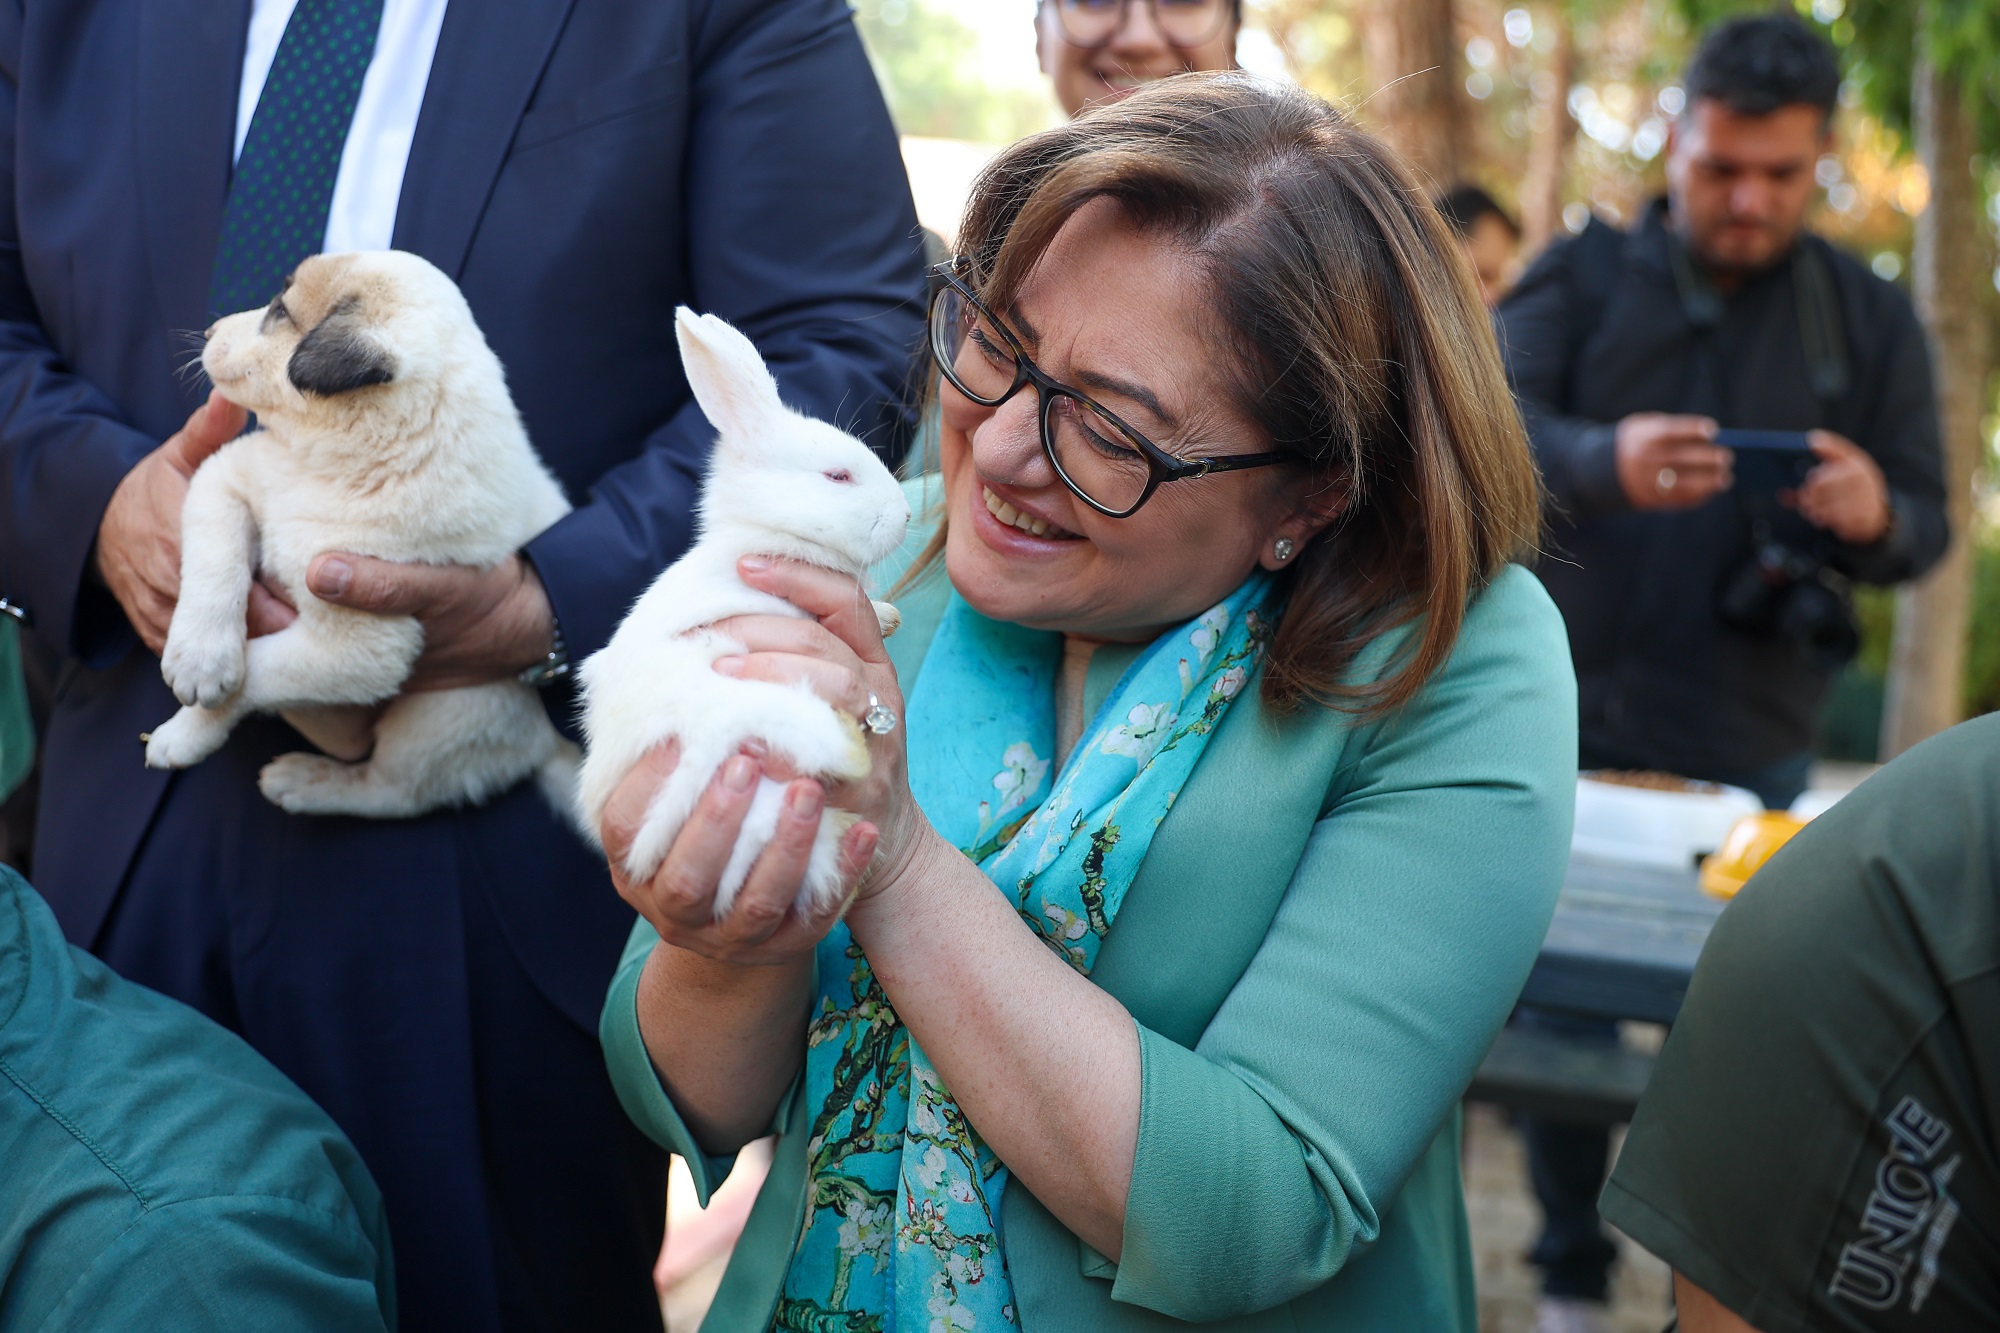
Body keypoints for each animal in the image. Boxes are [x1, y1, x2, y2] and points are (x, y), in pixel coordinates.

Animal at [143, 244, 572, 816]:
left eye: (279, 312)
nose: (210, 332)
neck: (338, 469)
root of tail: (549, 746)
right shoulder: (226, 476)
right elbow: (215, 564)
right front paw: (200, 658)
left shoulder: (361, 648)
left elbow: (259, 668)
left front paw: (187, 729)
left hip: (448, 714)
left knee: (392, 790)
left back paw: (308, 782)